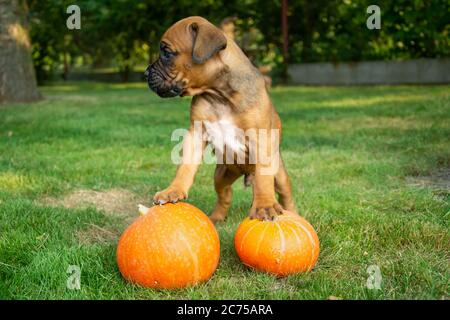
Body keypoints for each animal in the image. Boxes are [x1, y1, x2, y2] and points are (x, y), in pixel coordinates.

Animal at [146, 16, 298, 222]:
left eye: (167, 53)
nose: (145, 73)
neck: (219, 94)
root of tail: (246, 173)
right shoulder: (196, 133)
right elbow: (185, 166)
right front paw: (173, 190)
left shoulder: (260, 138)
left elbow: (263, 179)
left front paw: (265, 205)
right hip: (222, 173)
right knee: (225, 194)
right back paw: (217, 216)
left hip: (279, 173)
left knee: (284, 193)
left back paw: (293, 213)